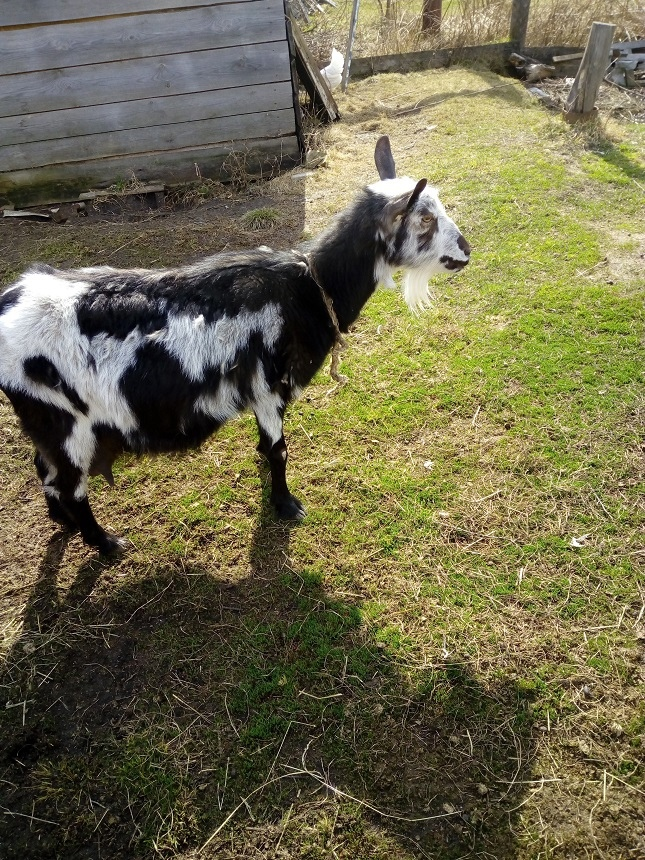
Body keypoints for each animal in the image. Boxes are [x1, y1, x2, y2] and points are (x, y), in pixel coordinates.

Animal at [0, 134, 468, 552]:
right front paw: (285, 504)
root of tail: (10, 300)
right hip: (66, 423)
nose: (465, 251)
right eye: (425, 219)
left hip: (46, 424)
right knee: (70, 484)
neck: (308, 289)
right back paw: (106, 543)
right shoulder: (267, 387)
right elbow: (279, 450)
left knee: (43, 467)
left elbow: (268, 444)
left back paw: (61, 520)